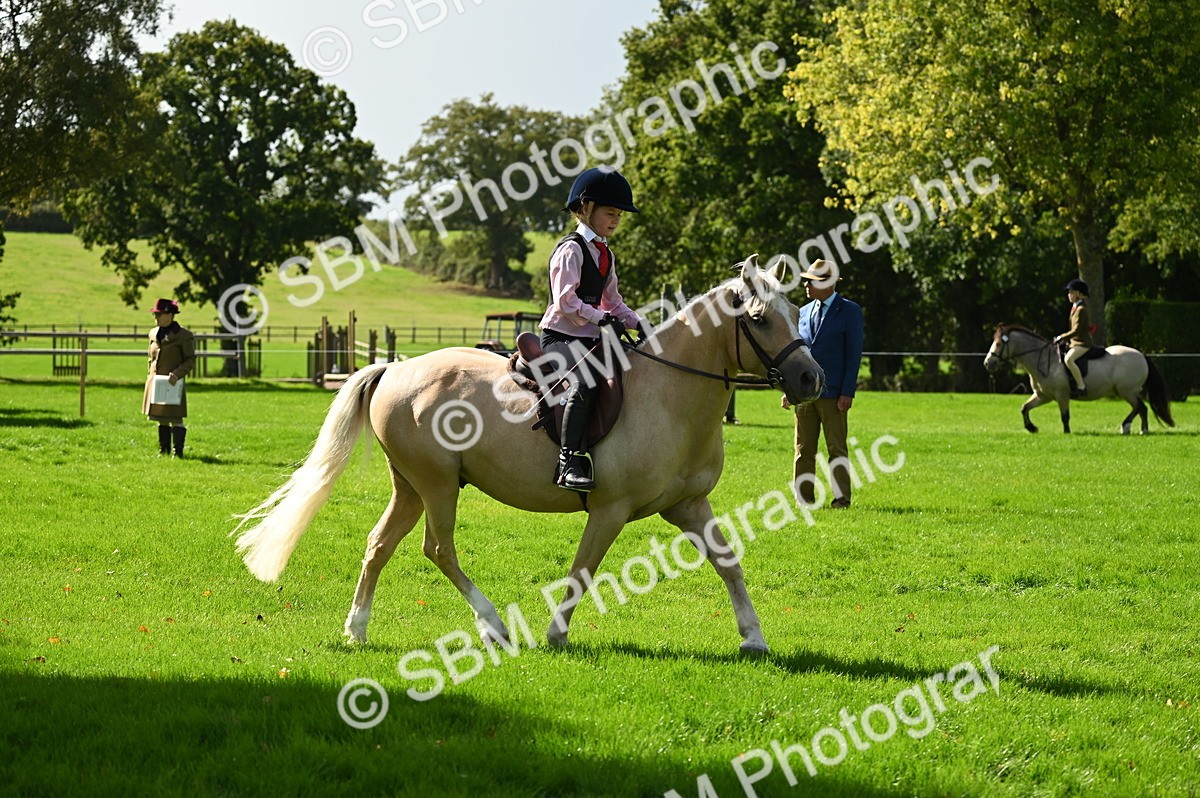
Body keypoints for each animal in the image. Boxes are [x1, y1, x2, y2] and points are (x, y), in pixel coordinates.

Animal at [233, 256, 824, 654]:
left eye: (797, 309)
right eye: (761, 319)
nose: (811, 379)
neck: (668, 396)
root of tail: (394, 369)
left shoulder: (689, 505)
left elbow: (728, 563)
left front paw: (753, 638)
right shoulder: (609, 510)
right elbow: (583, 570)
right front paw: (556, 634)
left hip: (411, 487)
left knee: (379, 545)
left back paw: (356, 629)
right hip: (438, 485)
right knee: (438, 549)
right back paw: (493, 626)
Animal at [983, 323, 1175, 434]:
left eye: (998, 344)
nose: (988, 363)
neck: (1043, 358)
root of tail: (1142, 355)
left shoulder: (1061, 395)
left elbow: (1065, 416)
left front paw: (1067, 433)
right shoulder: (1043, 396)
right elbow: (1024, 408)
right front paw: (1032, 428)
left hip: (1127, 391)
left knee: (1140, 407)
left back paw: (1131, 427)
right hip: (1126, 392)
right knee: (1140, 408)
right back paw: (1139, 429)